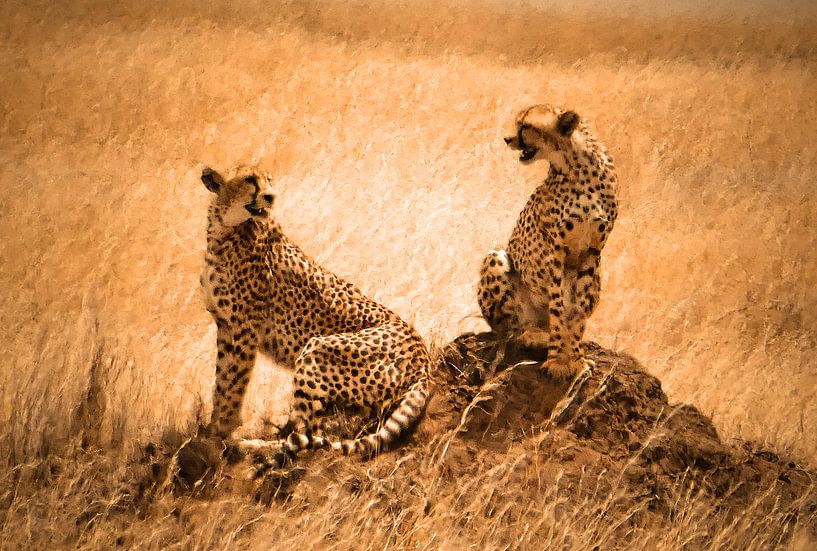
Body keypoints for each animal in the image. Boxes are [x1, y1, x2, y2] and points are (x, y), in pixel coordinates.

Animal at [198, 165, 429, 476]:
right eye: (249, 180)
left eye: (269, 180)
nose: (271, 197)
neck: (224, 229)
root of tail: (424, 357)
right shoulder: (225, 326)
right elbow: (221, 383)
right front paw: (211, 430)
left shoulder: (244, 329)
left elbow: (234, 385)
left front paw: (222, 434)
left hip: (317, 348)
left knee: (308, 437)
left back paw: (253, 447)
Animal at [478, 104, 619, 380]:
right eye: (518, 123)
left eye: (526, 126)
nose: (507, 139)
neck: (576, 166)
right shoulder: (555, 249)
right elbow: (558, 306)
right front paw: (556, 359)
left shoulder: (593, 250)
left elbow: (576, 312)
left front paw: (574, 358)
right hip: (496, 258)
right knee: (508, 331)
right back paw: (533, 335)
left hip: (598, 276)